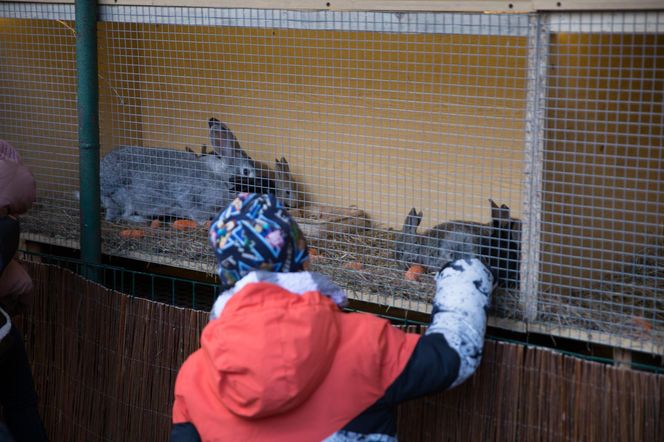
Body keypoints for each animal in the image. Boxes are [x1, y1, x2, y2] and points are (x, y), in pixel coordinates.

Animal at [100, 117, 256, 224]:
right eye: (246, 171)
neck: (218, 175)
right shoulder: (192, 194)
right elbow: (194, 210)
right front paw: (205, 222)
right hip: (126, 198)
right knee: (120, 216)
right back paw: (140, 220)